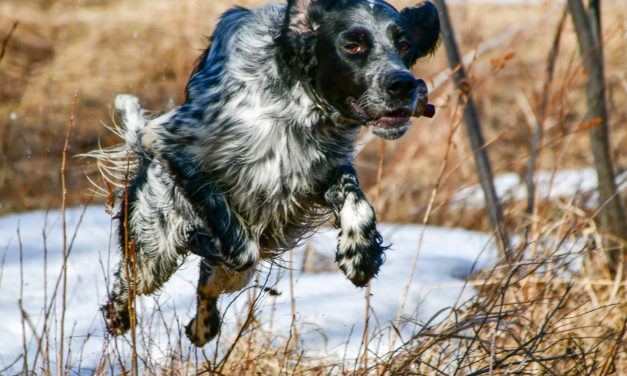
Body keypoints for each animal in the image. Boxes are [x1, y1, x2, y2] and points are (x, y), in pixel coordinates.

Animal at [97, 0, 442, 346]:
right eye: (352, 46)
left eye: (404, 44)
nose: (404, 84)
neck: (296, 103)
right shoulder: (172, 144)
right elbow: (239, 244)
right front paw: (208, 241)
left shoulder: (322, 169)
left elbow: (358, 203)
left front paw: (360, 253)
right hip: (153, 248)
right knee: (130, 279)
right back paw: (119, 316)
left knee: (208, 285)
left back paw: (202, 327)